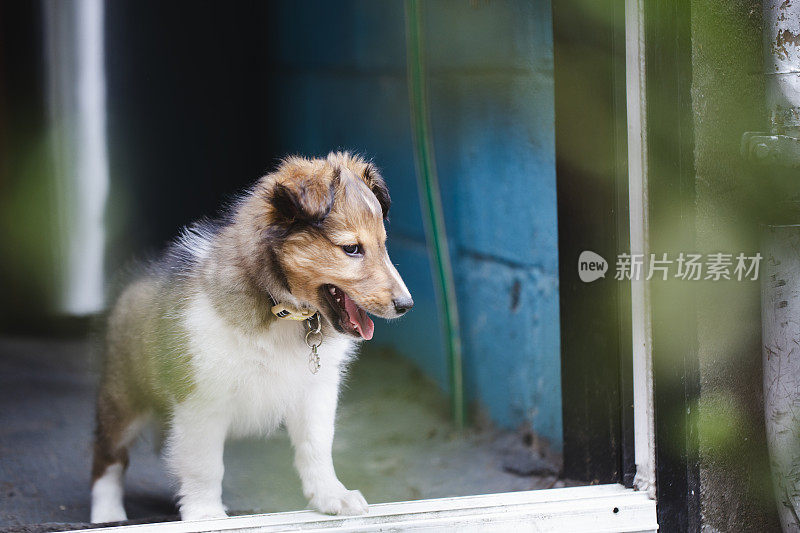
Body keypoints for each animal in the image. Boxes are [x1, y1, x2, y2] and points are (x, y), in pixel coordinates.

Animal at [91, 152, 416, 520]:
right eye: (351, 248)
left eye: (383, 245)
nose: (406, 305)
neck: (281, 308)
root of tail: (132, 281)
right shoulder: (201, 398)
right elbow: (204, 464)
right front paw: (206, 514)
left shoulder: (315, 390)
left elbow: (317, 446)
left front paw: (331, 496)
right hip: (123, 396)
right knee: (108, 455)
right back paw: (108, 514)